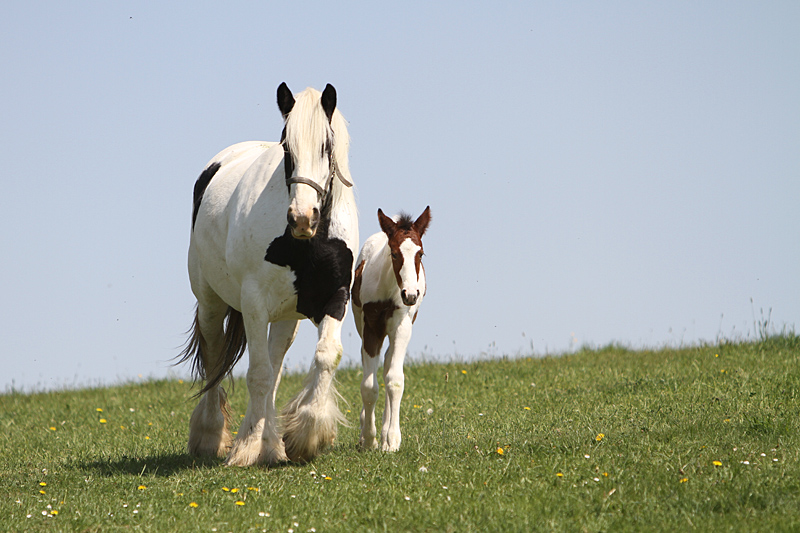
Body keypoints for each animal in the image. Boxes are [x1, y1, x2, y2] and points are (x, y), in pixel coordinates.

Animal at [181, 83, 360, 466]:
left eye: (326, 147)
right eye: (287, 148)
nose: (303, 217)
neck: (308, 243)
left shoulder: (335, 297)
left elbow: (325, 356)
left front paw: (306, 434)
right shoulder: (253, 303)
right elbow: (257, 375)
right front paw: (248, 447)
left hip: (285, 318)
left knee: (273, 366)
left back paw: (270, 441)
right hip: (212, 304)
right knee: (216, 358)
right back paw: (211, 435)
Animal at [352, 206, 432, 450]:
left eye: (420, 254)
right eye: (394, 253)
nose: (411, 295)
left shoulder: (402, 324)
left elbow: (395, 379)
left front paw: (391, 440)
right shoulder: (371, 326)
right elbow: (369, 385)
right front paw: (369, 439)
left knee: (388, 364)